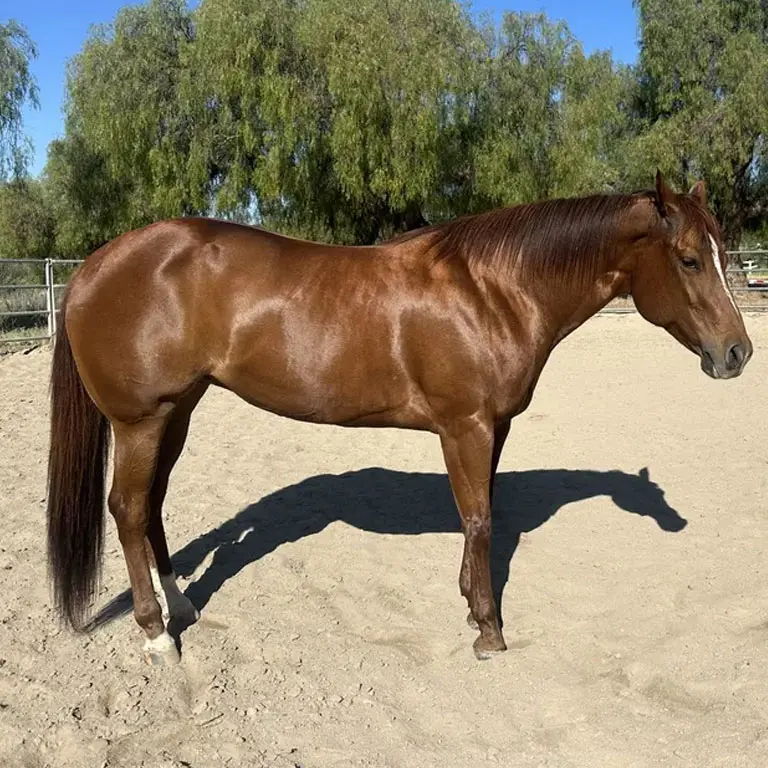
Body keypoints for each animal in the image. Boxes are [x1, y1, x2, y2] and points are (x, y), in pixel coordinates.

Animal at [46, 172, 752, 665]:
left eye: (724, 254)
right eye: (689, 258)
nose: (737, 354)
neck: (492, 291)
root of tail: (94, 265)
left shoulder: (492, 429)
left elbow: (480, 515)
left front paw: (470, 606)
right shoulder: (466, 427)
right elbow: (479, 519)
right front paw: (489, 631)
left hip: (179, 411)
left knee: (152, 505)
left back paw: (183, 606)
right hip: (141, 420)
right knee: (128, 509)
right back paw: (156, 636)